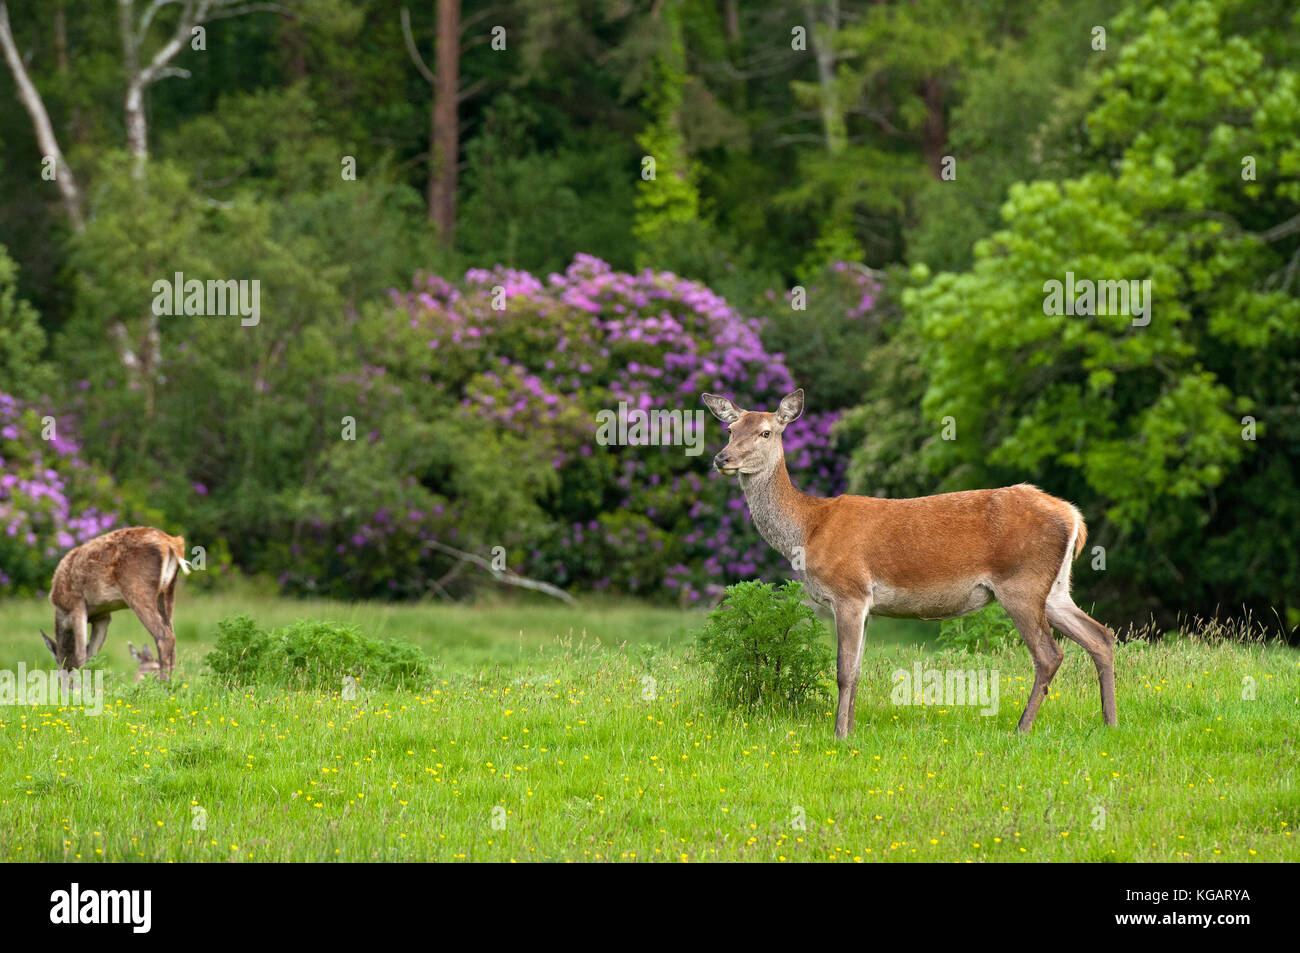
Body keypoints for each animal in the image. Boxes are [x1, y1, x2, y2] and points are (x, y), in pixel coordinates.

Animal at [41, 527, 190, 682]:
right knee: (173, 637)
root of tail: (171, 543)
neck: (61, 611)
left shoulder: (76, 603)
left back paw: (163, 683)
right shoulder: (103, 615)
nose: (65, 686)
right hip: (167, 592)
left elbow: (81, 654)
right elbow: (91, 655)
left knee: (164, 637)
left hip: (139, 589)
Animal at [701, 389, 1117, 738]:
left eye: (766, 432)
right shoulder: (867, 605)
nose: (722, 458)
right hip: (1056, 588)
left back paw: (1021, 729)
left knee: (1049, 654)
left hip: (1021, 584)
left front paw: (839, 734)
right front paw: (851, 728)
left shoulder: (849, 591)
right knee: (1101, 635)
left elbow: (843, 671)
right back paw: (1110, 722)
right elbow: (858, 670)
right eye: (730, 429)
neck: (807, 529)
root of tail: (1074, 516)